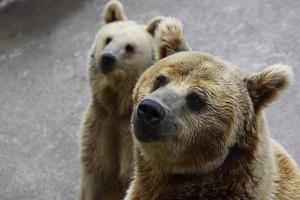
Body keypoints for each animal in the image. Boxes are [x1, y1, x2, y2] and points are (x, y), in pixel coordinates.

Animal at [79, 1, 164, 200]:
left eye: (129, 47)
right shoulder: (101, 127)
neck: (117, 107)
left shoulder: (132, 139)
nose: (107, 58)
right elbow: (97, 178)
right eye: (108, 38)